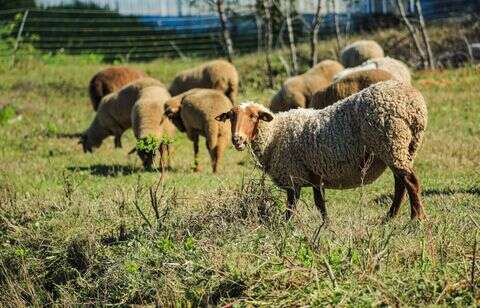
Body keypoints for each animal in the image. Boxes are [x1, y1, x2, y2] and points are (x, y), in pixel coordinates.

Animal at [218, 80, 428, 221]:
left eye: (254, 117)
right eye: (231, 117)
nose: (237, 139)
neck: (275, 134)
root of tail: (413, 102)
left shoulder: (295, 174)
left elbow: (298, 206)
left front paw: (289, 227)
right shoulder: (314, 173)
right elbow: (317, 203)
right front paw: (323, 225)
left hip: (390, 142)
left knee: (410, 181)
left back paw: (416, 218)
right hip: (405, 147)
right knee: (400, 183)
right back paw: (390, 217)